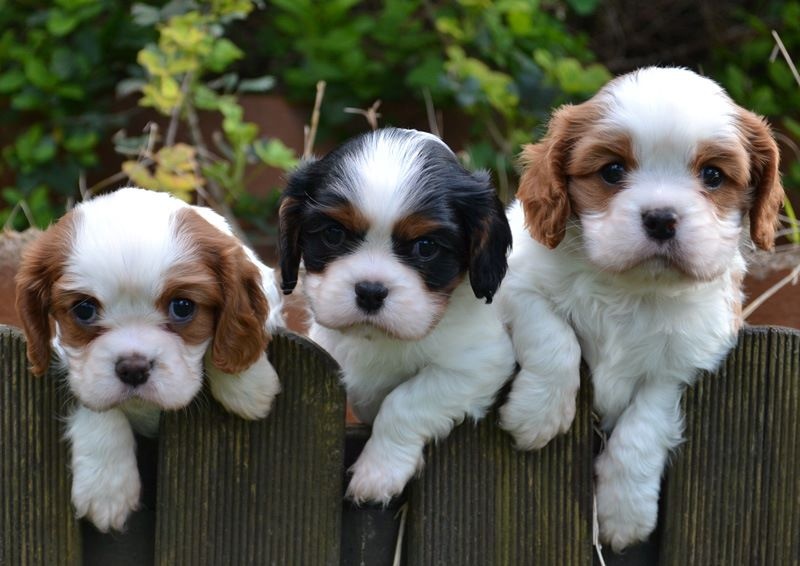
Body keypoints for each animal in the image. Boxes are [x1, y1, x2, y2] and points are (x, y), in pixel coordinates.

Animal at [14, 189, 284, 536]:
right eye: (84, 310)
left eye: (183, 306)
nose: (133, 368)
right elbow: (94, 399)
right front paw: (107, 487)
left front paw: (248, 386)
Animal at [282, 129, 516, 506]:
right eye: (333, 234)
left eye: (426, 247)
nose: (370, 291)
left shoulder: (479, 363)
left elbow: (405, 401)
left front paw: (377, 473)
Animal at [496, 65, 784, 552]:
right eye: (612, 170)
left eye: (712, 175)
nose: (661, 218)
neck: (633, 289)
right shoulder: (511, 282)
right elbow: (554, 337)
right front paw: (538, 414)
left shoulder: (688, 355)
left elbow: (645, 423)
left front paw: (626, 512)